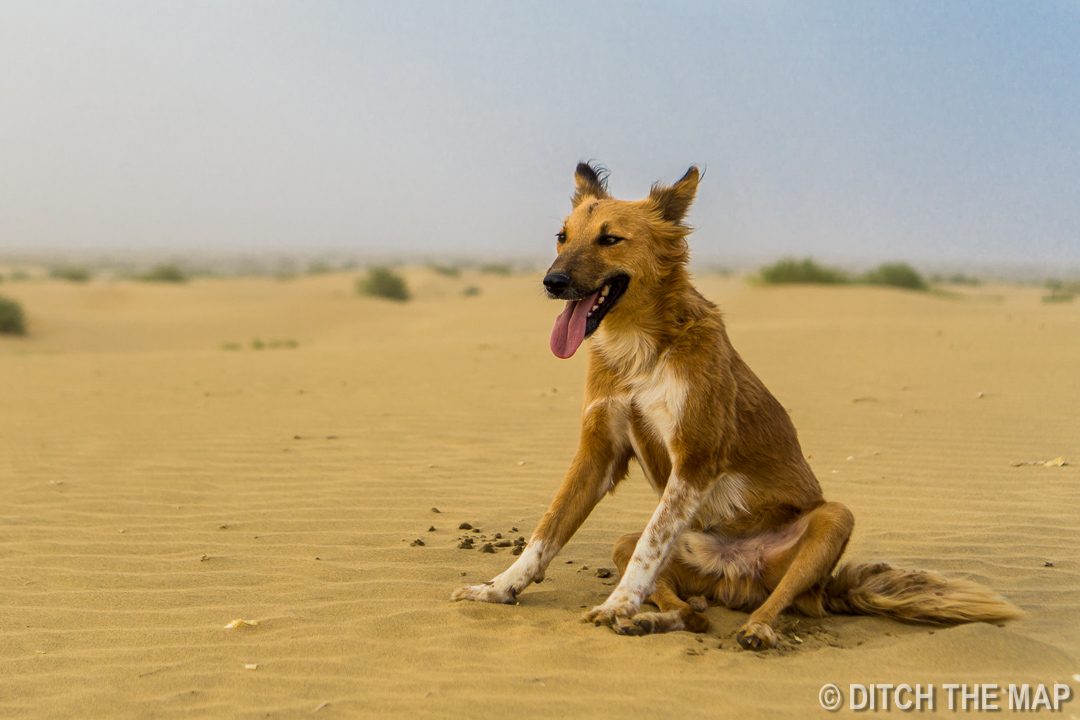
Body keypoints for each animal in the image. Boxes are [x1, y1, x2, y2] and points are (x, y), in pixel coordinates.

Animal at [451, 166, 1023, 651]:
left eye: (610, 239)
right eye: (562, 236)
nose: (552, 283)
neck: (640, 352)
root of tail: (735, 577)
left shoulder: (695, 457)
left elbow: (649, 545)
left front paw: (615, 602)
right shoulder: (598, 453)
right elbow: (547, 531)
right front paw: (499, 587)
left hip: (833, 520)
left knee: (776, 605)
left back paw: (750, 630)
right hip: (643, 548)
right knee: (694, 613)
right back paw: (647, 620)